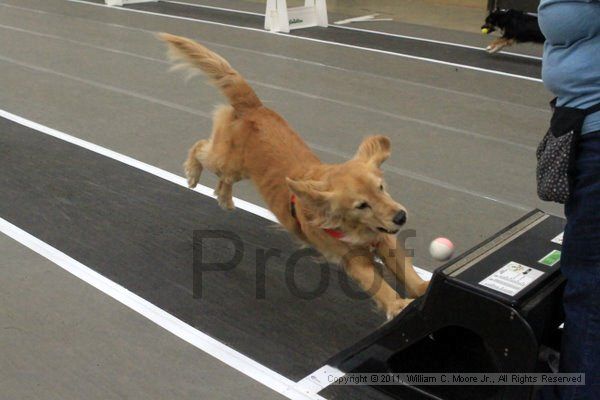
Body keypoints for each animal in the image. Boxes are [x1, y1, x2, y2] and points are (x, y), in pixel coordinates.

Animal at [159, 32, 428, 320]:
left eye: (381, 187)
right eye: (361, 205)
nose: (400, 217)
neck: (353, 227)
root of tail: (254, 107)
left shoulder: (384, 238)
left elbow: (405, 269)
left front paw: (422, 287)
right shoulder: (352, 258)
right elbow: (376, 283)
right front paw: (397, 305)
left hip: (238, 168)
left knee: (223, 180)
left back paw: (224, 198)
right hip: (226, 161)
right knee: (200, 148)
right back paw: (193, 174)